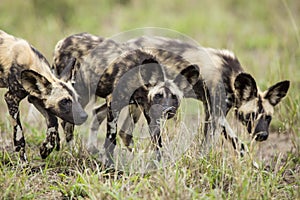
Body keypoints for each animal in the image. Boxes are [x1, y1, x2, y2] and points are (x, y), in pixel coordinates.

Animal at [0, 30, 86, 161]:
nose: (84, 116)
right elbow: (20, 136)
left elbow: (53, 121)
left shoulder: (35, 98)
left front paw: (46, 149)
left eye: (77, 99)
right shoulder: (11, 98)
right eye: (65, 101)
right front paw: (23, 162)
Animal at [52, 33, 200, 166]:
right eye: (158, 95)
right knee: (67, 123)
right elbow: (111, 139)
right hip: (80, 95)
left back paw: (91, 150)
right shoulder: (114, 104)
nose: (167, 110)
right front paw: (110, 164)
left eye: (174, 97)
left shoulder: (149, 112)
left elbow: (156, 143)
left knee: (96, 114)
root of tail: (63, 41)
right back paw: (74, 152)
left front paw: (157, 166)